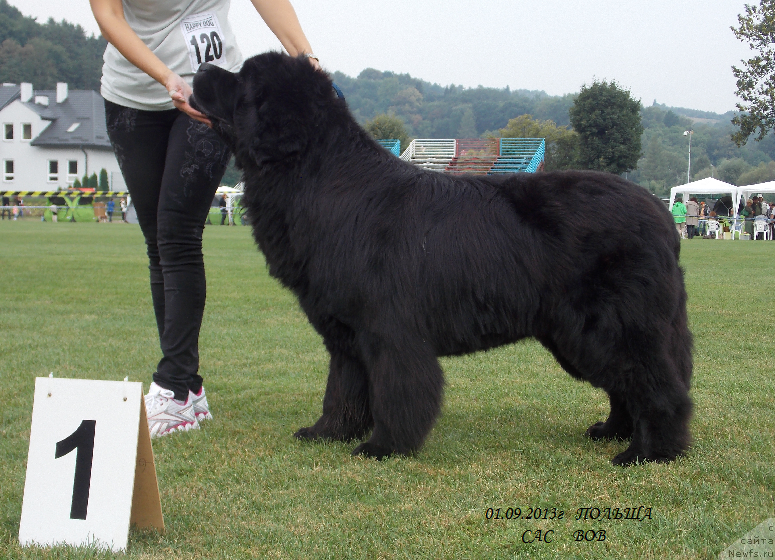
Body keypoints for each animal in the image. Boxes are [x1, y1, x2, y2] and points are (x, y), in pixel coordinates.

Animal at [191, 52, 696, 466]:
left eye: (243, 80)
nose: (199, 69)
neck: (318, 179)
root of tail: (659, 214)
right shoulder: (346, 335)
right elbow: (343, 390)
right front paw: (327, 434)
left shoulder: (389, 329)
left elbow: (396, 391)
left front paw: (385, 447)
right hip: (583, 333)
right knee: (627, 385)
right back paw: (613, 432)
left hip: (609, 326)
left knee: (655, 385)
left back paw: (648, 453)